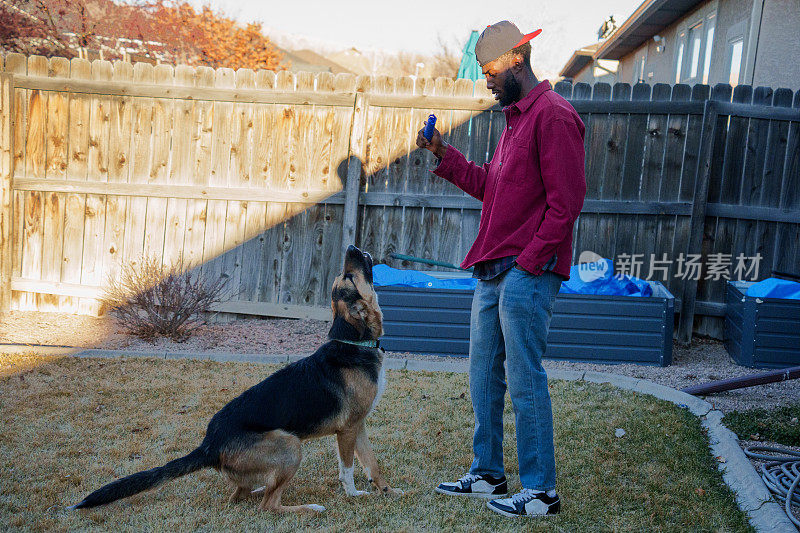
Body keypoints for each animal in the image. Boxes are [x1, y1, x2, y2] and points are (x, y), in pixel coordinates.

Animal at [70, 244, 400, 512]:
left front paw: (387, 491)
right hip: (291, 444)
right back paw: (308, 508)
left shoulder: (360, 425)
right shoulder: (347, 429)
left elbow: (372, 464)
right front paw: (353, 495)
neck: (353, 340)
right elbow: (348, 469)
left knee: (241, 494)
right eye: (348, 277)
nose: (351, 247)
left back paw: (257, 488)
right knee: (269, 506)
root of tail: (209, 445)